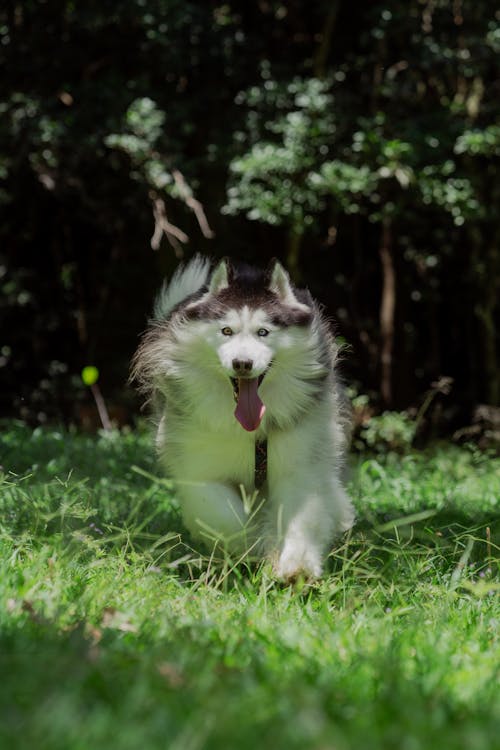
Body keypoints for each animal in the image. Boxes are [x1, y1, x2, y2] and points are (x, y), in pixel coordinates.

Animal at [131, 256, 354, 580]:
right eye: (226, 331)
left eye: (263, 332)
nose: (242, 364)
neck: (250, 432)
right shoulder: (199, 469)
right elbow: (224, 515)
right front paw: (254, 544)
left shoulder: (299, 463)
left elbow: (300, 515)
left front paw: (295, 566)